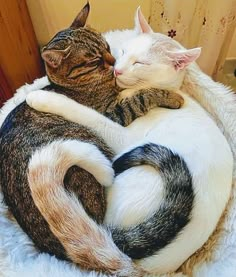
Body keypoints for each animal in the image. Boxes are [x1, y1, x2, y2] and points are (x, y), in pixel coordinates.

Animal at [0, 2, 232, 276]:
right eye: (123, 50)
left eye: (140, 63)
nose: (117, 68)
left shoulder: (119, 128)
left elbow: (91, 112)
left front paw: (42, 98)